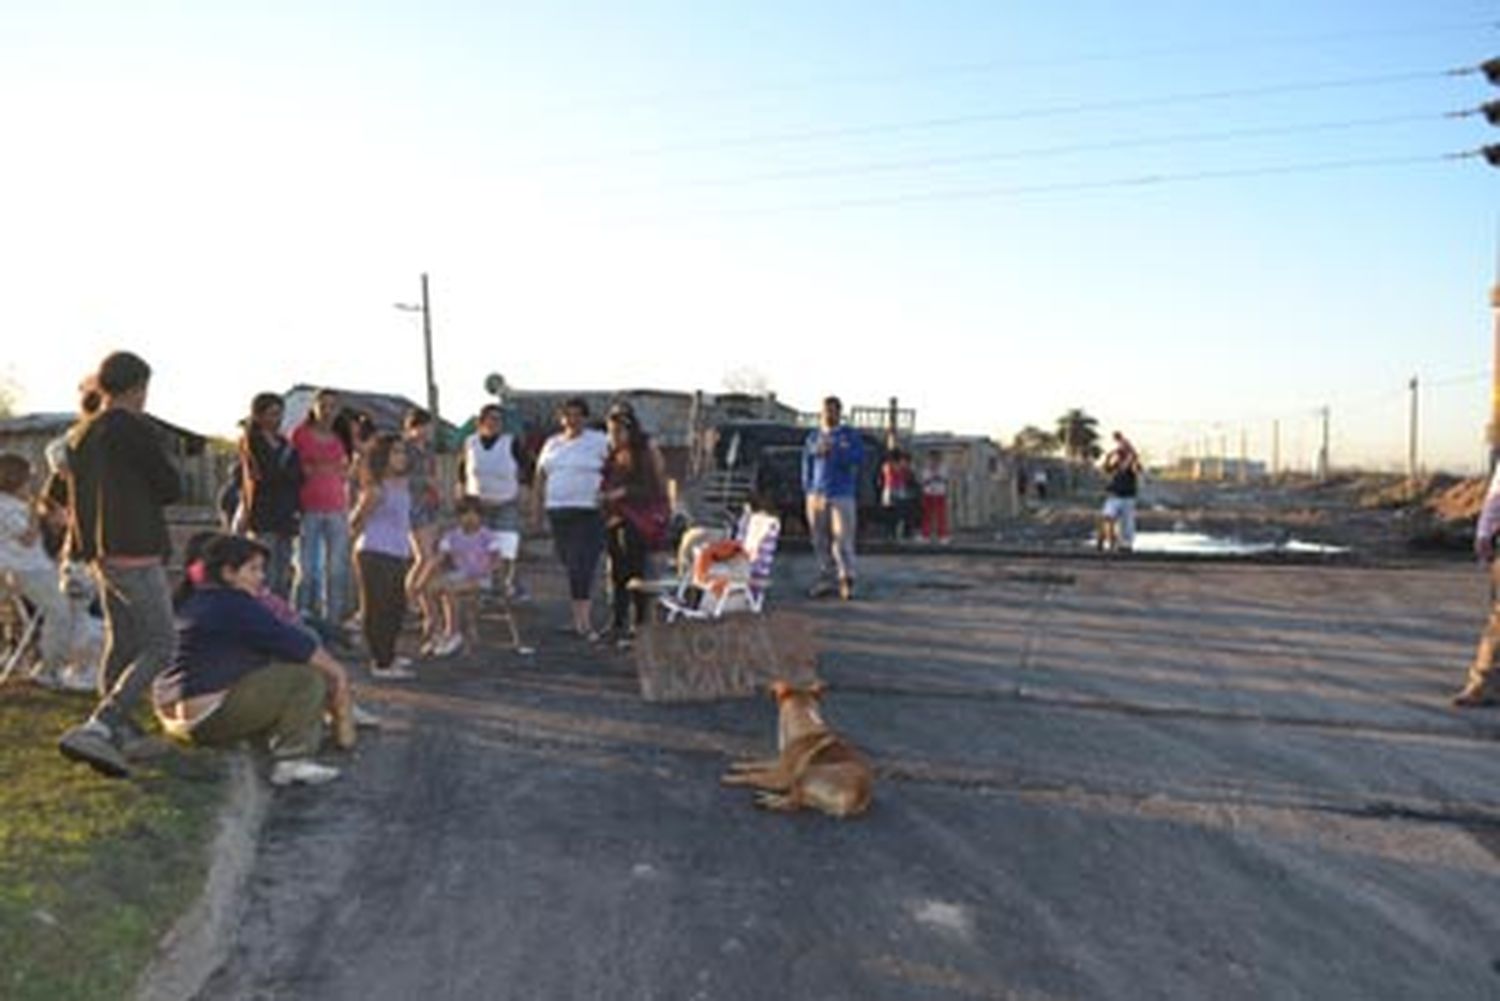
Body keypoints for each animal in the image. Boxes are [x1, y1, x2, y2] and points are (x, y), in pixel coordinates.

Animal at [720, 678, 876, 816]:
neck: (804, 720)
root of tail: (858, 797)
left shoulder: (780, 776)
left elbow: (754, 776)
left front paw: (732, 778)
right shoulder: (779, 764)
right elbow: (759, 763)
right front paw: (739, 764)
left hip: (805, 775)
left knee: (793, 804)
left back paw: (767, 802)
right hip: (806, 789)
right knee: (796, 799)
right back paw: (765, 797)